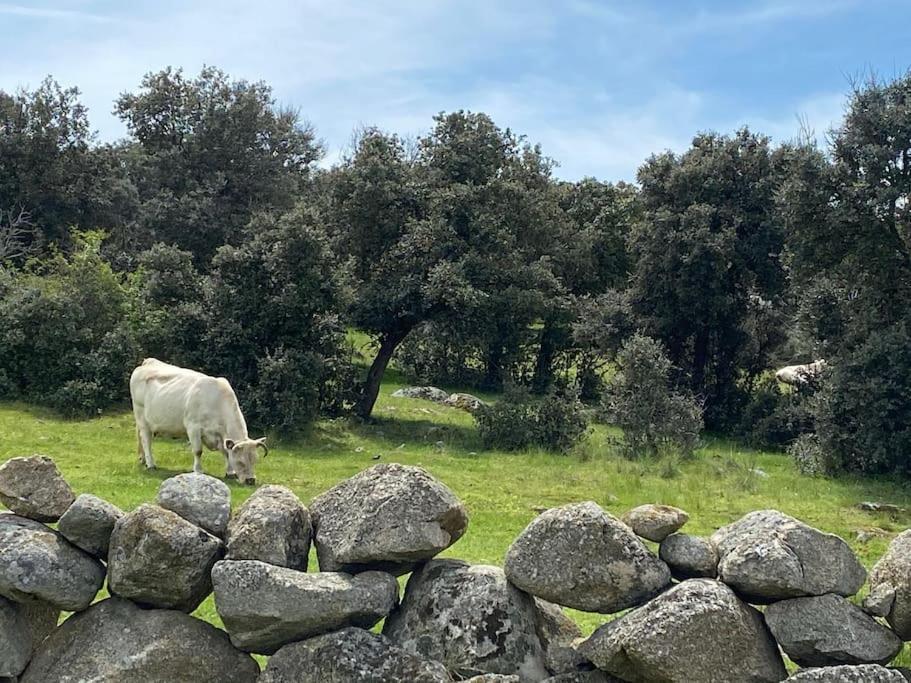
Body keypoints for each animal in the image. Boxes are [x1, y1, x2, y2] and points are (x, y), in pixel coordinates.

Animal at [131, 358, 268, 486]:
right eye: (240, 461)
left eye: (255, 460)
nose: (251, 480)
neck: (217, 402)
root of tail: (149, 362)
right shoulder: (193, 427)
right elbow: (198, 451)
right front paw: (198, 471)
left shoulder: (220, 435)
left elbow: (226, 452)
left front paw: (230, 472)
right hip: (142, 417)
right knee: (146, 441)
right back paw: (150, 464)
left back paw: (143, 460)